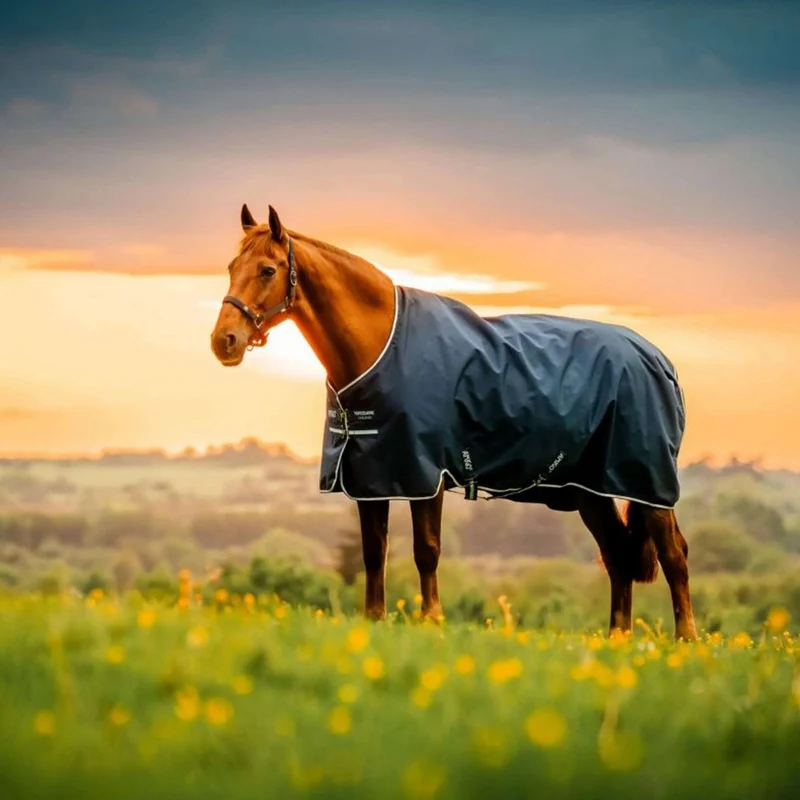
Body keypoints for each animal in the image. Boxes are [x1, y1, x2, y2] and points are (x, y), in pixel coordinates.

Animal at [210, 203, 698, 640]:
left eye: (268, 270)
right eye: (232, 266)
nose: (223, 341)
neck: (382, 347)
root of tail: (659, 361)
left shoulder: (425, 474)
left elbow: (426, 550)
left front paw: (432, 621)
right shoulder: (371, 476)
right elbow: (374, 552)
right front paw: (375, 620)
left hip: (649, 484)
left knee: (674, 554)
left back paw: (686, 640)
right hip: (590, 490)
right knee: (617, 555)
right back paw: (618, 639)